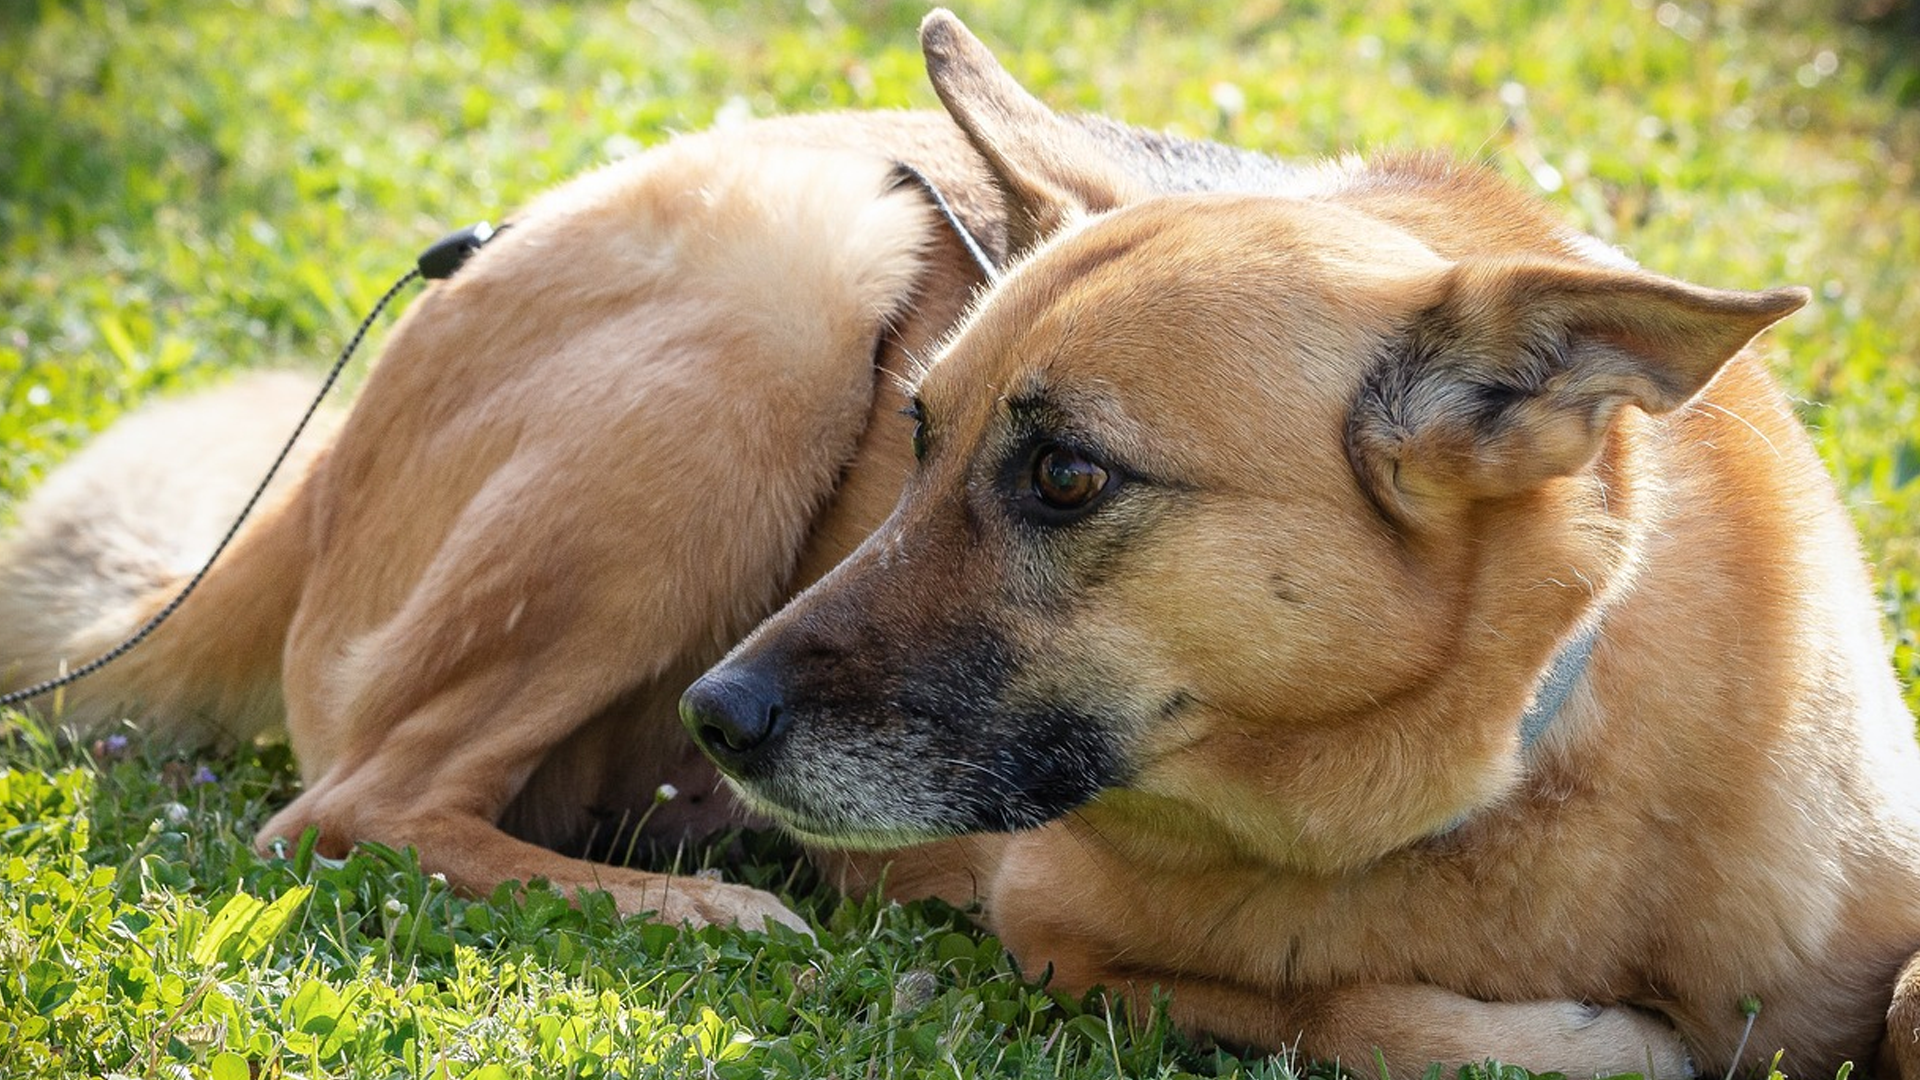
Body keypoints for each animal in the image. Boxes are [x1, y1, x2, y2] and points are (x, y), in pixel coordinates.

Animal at [3, 10, 1920, 1076]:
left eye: (1063, 476)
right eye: (917, 437)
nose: (719, 720)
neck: (1528, 761)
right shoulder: (1065, 922)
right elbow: (1372, 1015)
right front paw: (1585, 1039)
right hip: (776, 288)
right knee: (352, 806)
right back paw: (698, 902)